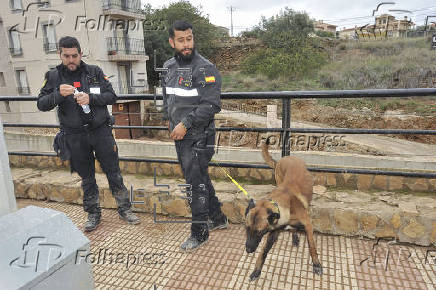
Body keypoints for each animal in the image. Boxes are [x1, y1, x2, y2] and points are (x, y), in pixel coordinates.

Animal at [245, 138, 324, 280]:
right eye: (246, 228)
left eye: (259, 232)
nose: (248, 250)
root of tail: (286, 157)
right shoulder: (273, 231)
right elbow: (263, 252)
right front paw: (257, 270)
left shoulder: (308, 225)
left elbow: (312, 246)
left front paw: (316, 264)